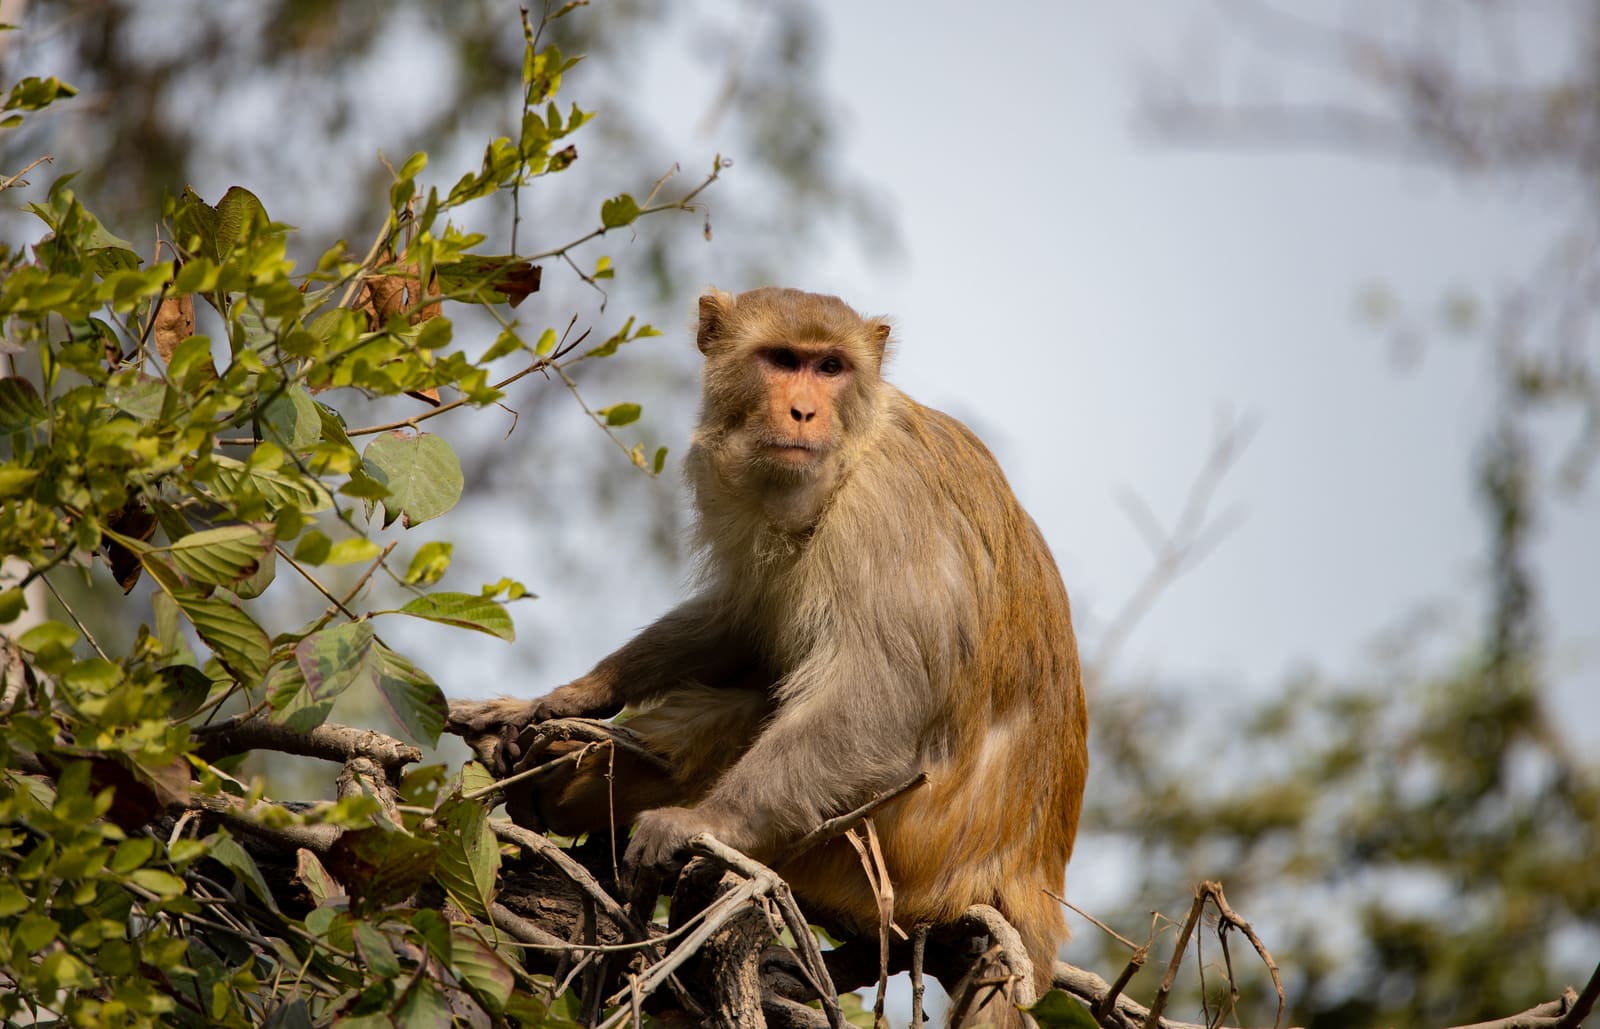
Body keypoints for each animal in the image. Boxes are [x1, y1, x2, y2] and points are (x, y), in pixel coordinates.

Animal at [453, 287, 1087, 1024]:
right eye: (784, 360)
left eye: (831, 367)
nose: (804, 410)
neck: (854, 446)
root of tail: (1026, 874)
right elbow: (745, 622)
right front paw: (571, 695)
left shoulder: (887, 513)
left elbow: (876, 704)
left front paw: (700, 821)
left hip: (886, 858)